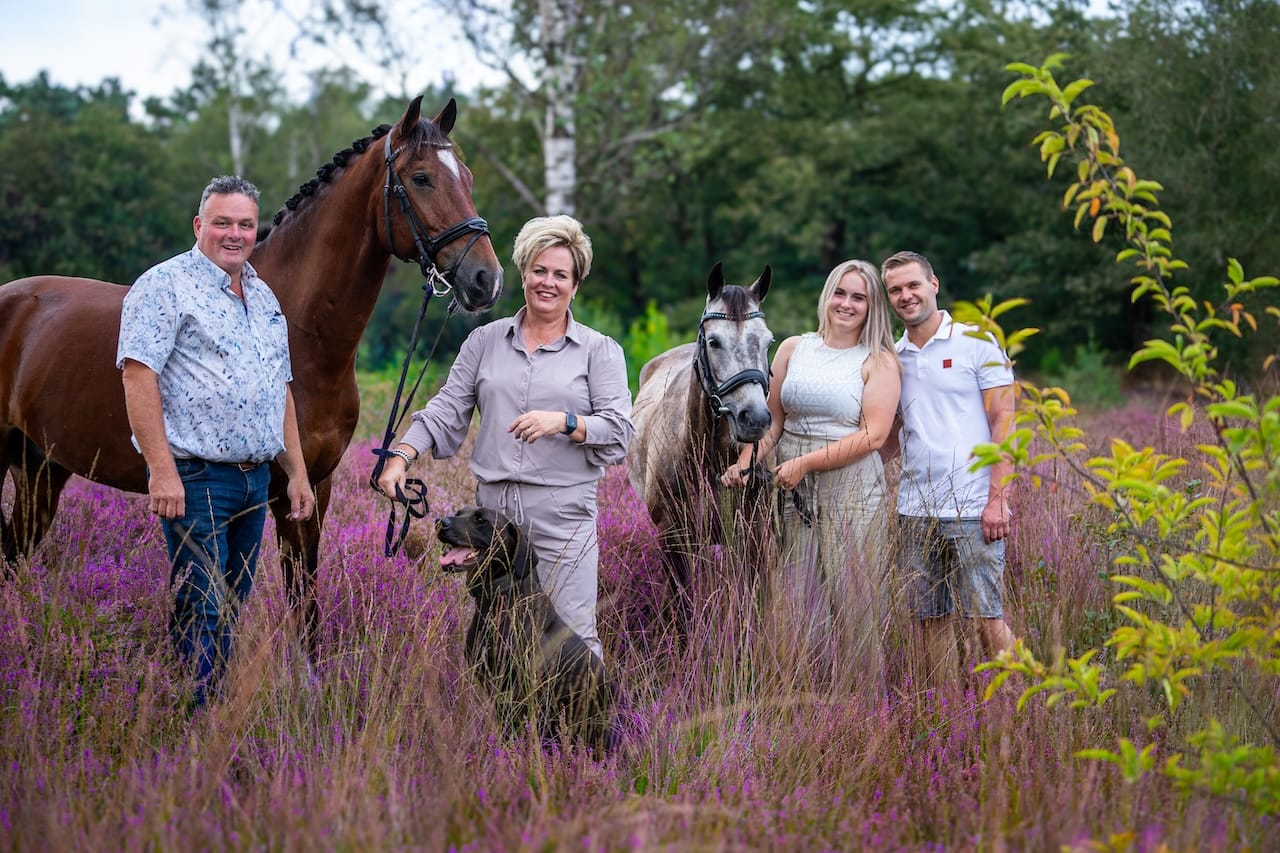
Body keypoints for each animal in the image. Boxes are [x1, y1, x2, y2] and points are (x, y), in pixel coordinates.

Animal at [0, 96, 503, 659]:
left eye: (467, 176)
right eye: (421, 178)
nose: (486, 279)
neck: (304, 335)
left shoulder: (314, 486)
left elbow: (304, 600)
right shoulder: (275, 494)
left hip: (40, 468)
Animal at [628, 263, 776, 637]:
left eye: (769, 341)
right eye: (714, 341)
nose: (754, 418)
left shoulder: (753, 537)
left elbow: (755, 604)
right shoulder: (672, 538)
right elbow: (683, 611)